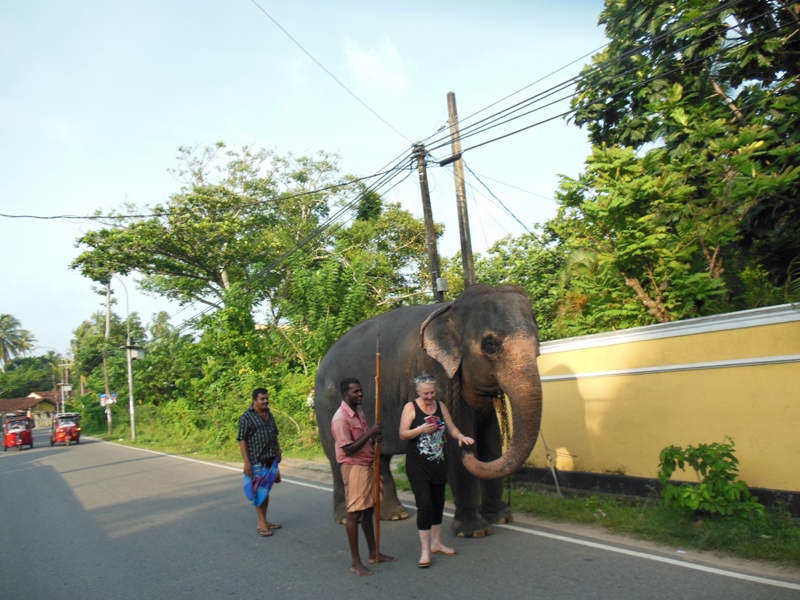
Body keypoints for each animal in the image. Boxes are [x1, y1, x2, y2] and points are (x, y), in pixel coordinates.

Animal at [314, 284, 542, 538]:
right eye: (490, 344)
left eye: (538, 344)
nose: (468, 448)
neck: (454, 309)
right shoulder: (435, 373)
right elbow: (453, 442)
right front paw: (475, 532)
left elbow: (491, 440)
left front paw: (501, 517)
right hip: (328, 406)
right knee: (338, 459)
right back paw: (346, 517)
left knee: (379, 456)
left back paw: (395, 515)